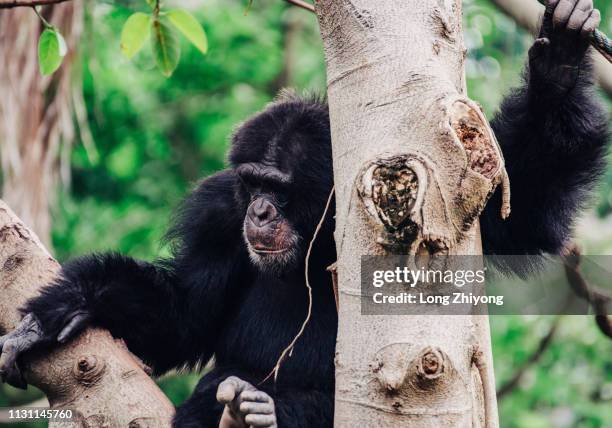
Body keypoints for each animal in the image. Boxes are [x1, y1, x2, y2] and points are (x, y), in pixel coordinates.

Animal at [0, 1, 608, 426]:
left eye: (278, 187)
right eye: (251, 183)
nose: (259, 211)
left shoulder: (460, 194)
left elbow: (529, 202)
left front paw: (559, 65)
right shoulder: (217, 216)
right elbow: (185, 313)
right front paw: (64, 307)